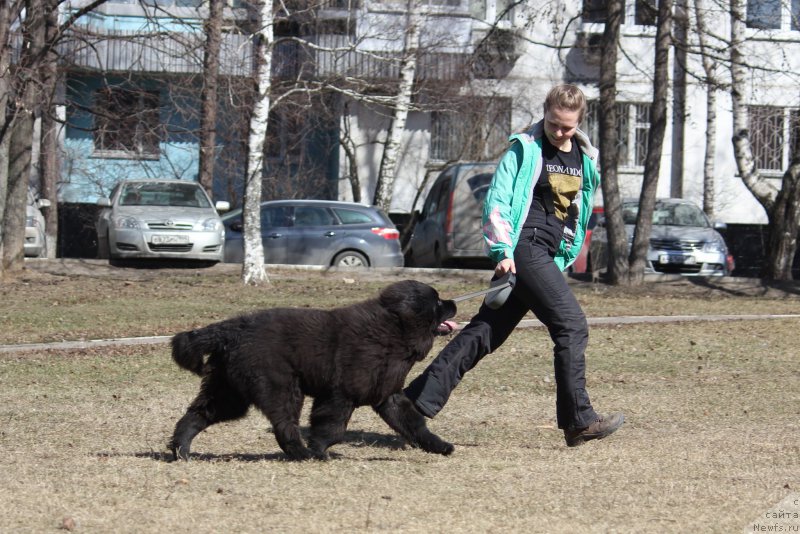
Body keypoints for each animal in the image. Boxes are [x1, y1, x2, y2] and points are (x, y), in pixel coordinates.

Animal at [169, 280, 456, 460]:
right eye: (437, 302)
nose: (453, 302)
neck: (395, 328)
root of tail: (231, 329)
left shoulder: (389, 395)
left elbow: (414, 424)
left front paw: (439, 446)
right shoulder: (339, 395)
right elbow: (332, 428)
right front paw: (319, 450)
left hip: (229, 393)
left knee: (196, 415)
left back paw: (181, 450)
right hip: (281, 387)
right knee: (284, 426)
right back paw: (302, 454)